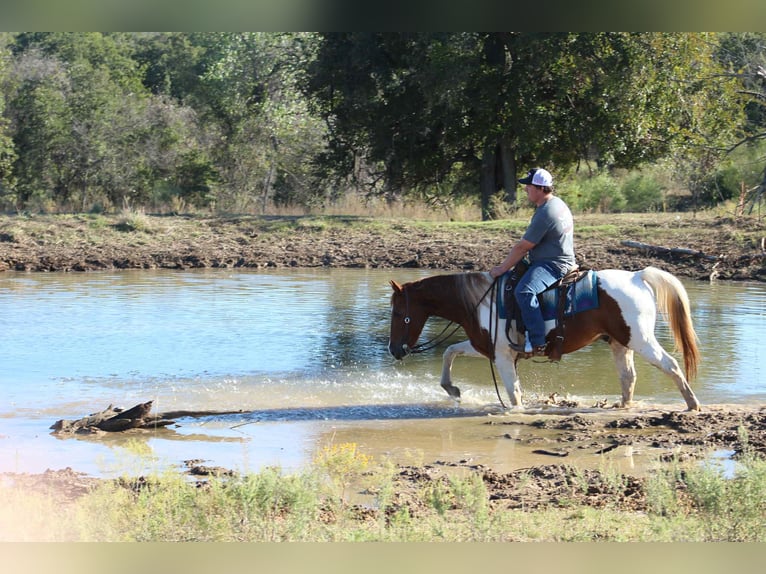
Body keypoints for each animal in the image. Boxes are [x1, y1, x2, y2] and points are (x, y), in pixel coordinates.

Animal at [388, 266, 701, 411]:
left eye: (399, 313)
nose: (394, 350)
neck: (479, 302)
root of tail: (638, 276)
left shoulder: (502, 356)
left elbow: (513, 393)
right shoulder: (486, 347)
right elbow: (450, 351)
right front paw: (452, 389)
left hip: (642, 341)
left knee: (671, 365)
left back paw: (692, 404)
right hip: (620, 343)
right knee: (628, 377)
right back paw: (624, 406)